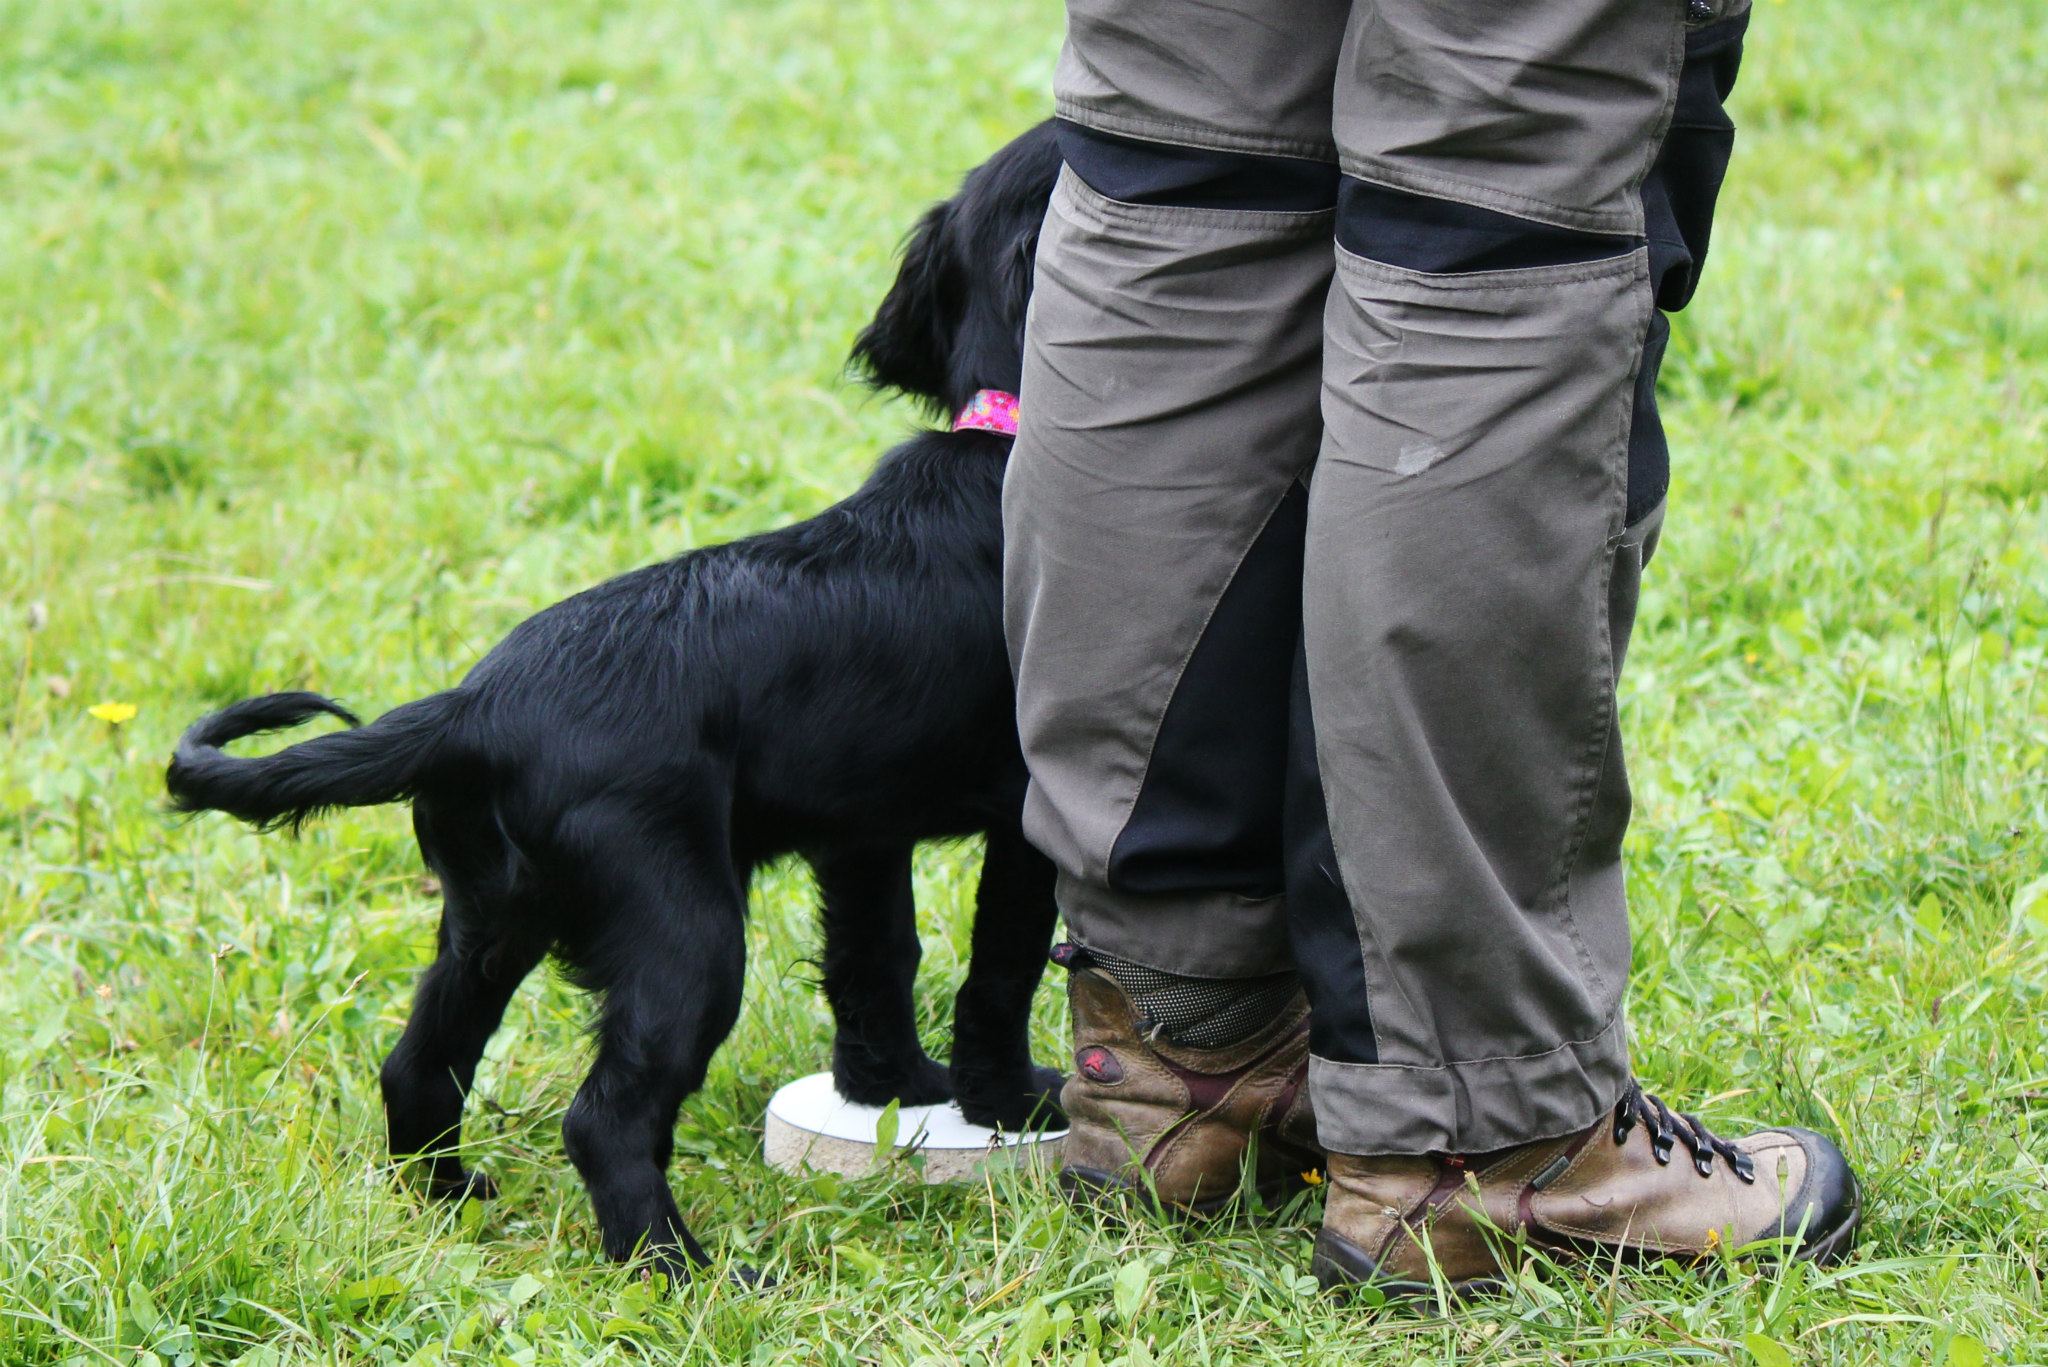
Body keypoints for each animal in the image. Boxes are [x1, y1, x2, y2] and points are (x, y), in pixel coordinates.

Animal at [167, 120, 1064, 1287]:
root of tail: (473, 708)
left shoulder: (860, 831)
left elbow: (876, 959)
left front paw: (897, 1090)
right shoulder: (1030, 810)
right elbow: (999, 967)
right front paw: (1008, 1103)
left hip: (491, 914)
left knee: (417, 1066)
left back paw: (446, 1199)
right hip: (681, 926)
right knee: (605, 1115)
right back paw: (681, 1270)